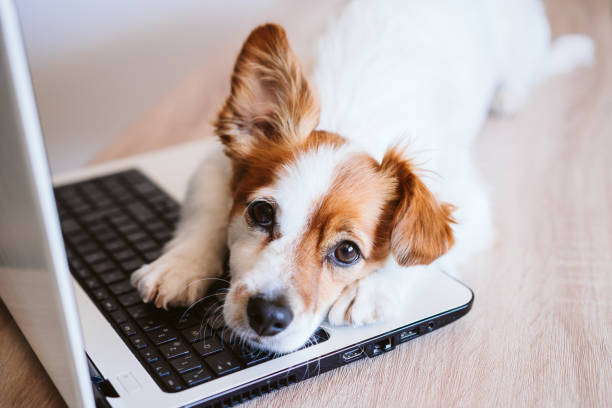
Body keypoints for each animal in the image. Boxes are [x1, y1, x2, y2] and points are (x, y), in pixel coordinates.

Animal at [130, 0, 592, 352]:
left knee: (530, 71)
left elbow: (418, 253)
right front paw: (180, 266)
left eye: (347, 252)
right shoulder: (213, 164)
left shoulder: (472, 210)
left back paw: (511, 94)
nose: (267, 315)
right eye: (261, 213)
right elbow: (207, 214)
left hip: (521, 50)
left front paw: (371, 290)